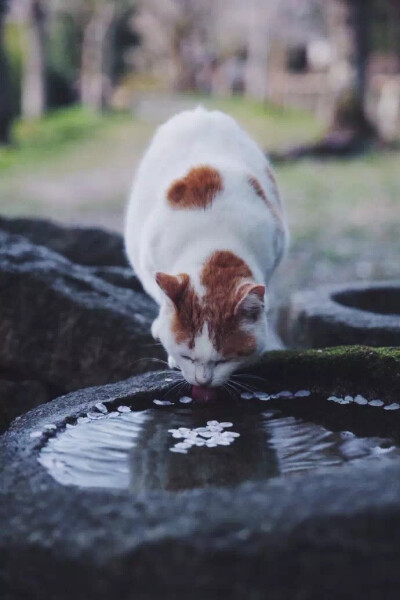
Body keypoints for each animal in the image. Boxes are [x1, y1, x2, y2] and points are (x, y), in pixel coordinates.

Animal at [124, 106, 288, 392]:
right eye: (187, 356)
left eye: (224, 360)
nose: (203, 381)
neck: (215, 243)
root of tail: (200, 111)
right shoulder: (148, 256)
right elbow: (160, 297)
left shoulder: (277, 246)